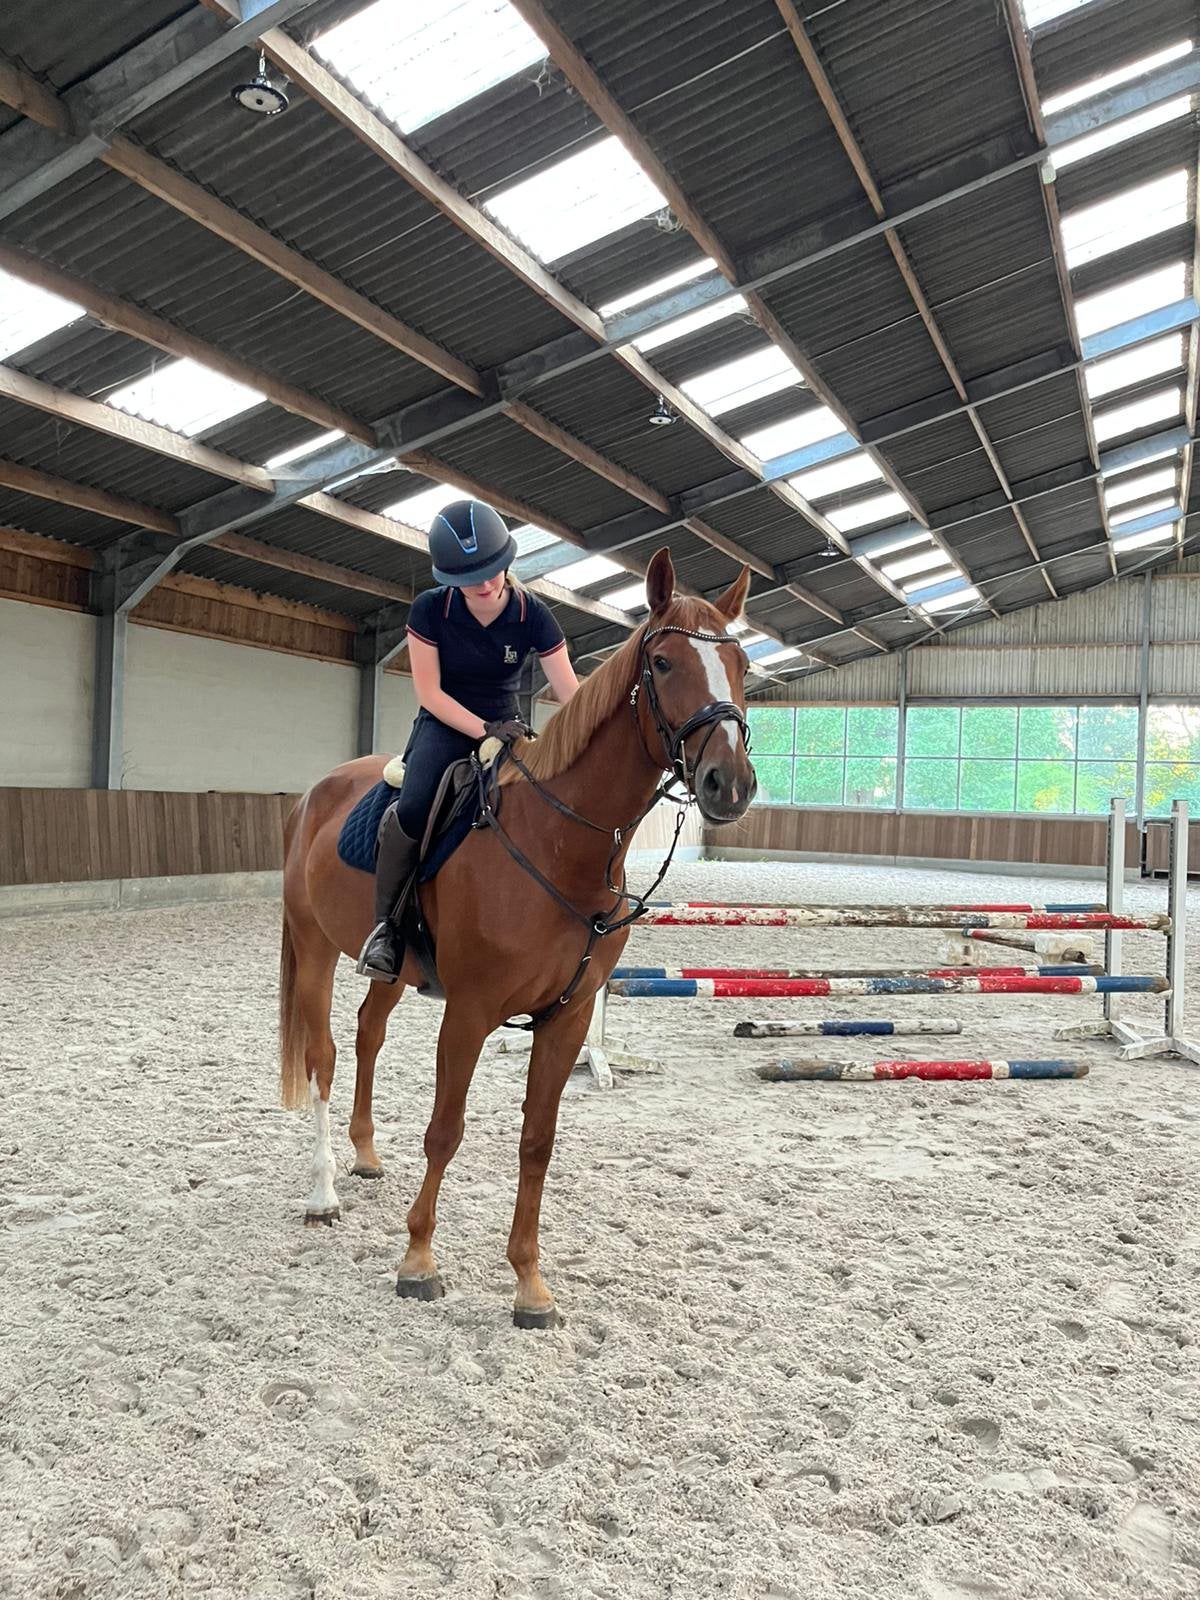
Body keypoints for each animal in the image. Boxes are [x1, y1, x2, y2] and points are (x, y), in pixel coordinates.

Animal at [278, 547, 756, 1327]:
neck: (557, 839)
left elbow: (538, 1140)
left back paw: (366, 1156)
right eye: (662, 663)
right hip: (315, 948)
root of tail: (317, 794)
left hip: (393, 969)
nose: (729, 784)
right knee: (322, 1055)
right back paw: (323, 1193)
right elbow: (446, 1129)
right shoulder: (471, 1011)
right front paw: (418, 1259)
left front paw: (530, 1284)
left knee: (367, 1033)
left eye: (740, 663)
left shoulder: (567, 1016)